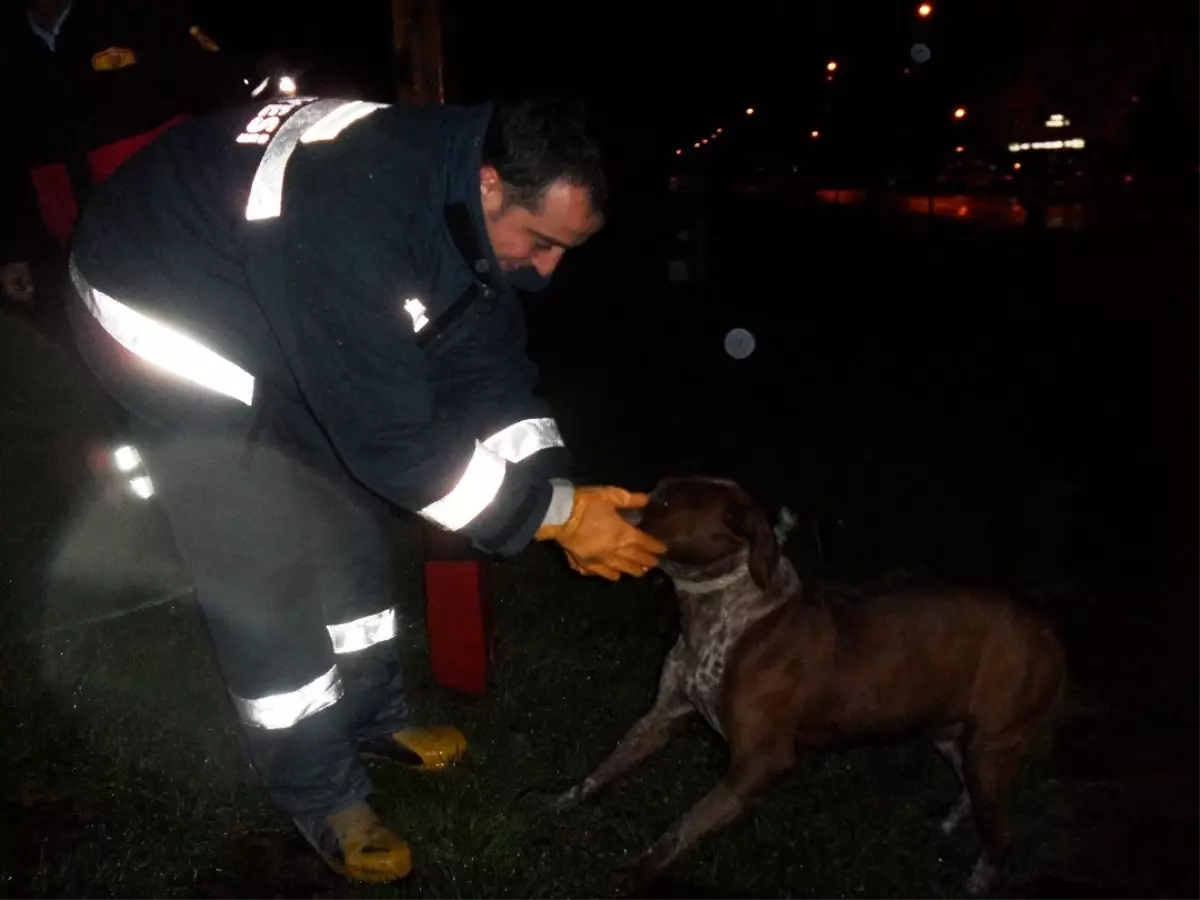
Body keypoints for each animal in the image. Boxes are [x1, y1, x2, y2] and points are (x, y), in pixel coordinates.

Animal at [549, 475, 1065, 897]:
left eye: (666, 502)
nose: (591, 509)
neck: (719, 615)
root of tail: (1047, 628)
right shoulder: (663, 716)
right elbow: (607, 767)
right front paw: (561, 804)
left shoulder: (761, 761)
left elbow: (686, 824)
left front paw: (638, 872)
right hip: (951, 733)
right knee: (972, 792)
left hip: (991, 747)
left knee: (1000, 831)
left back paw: (979, 877)